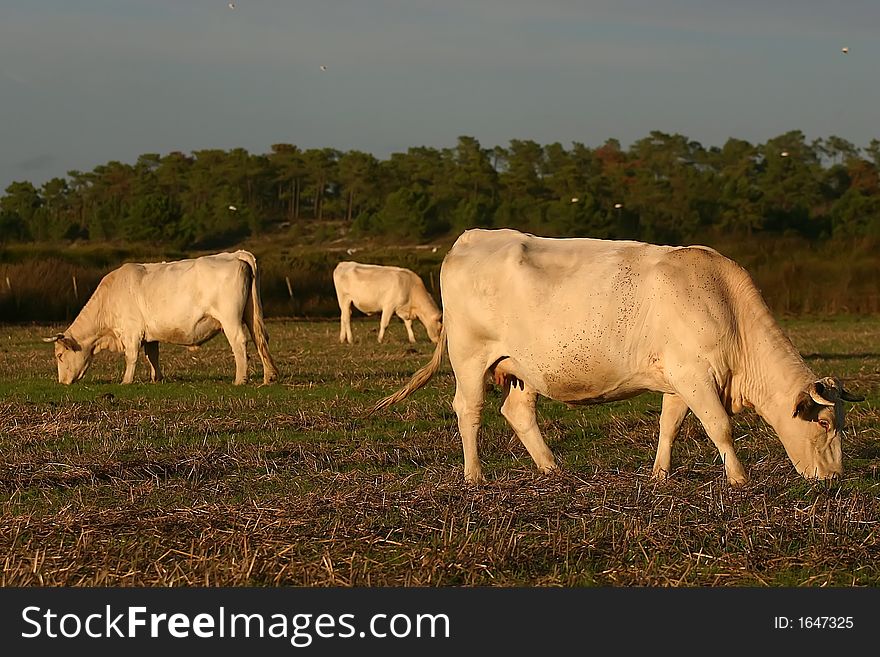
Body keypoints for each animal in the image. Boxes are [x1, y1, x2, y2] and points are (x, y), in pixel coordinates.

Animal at [43, 250, 278, 384]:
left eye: (60, 356)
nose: (62, 382)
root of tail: (235, 254)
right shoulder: (149, 335)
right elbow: (152, 356)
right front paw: (157, 379)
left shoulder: (131, 332)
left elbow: (131, 357)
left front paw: (126, 381)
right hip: (251, 314)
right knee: (260, 339)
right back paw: (269, 377)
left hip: (230, 319)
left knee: (240, 343)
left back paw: (240, 380)